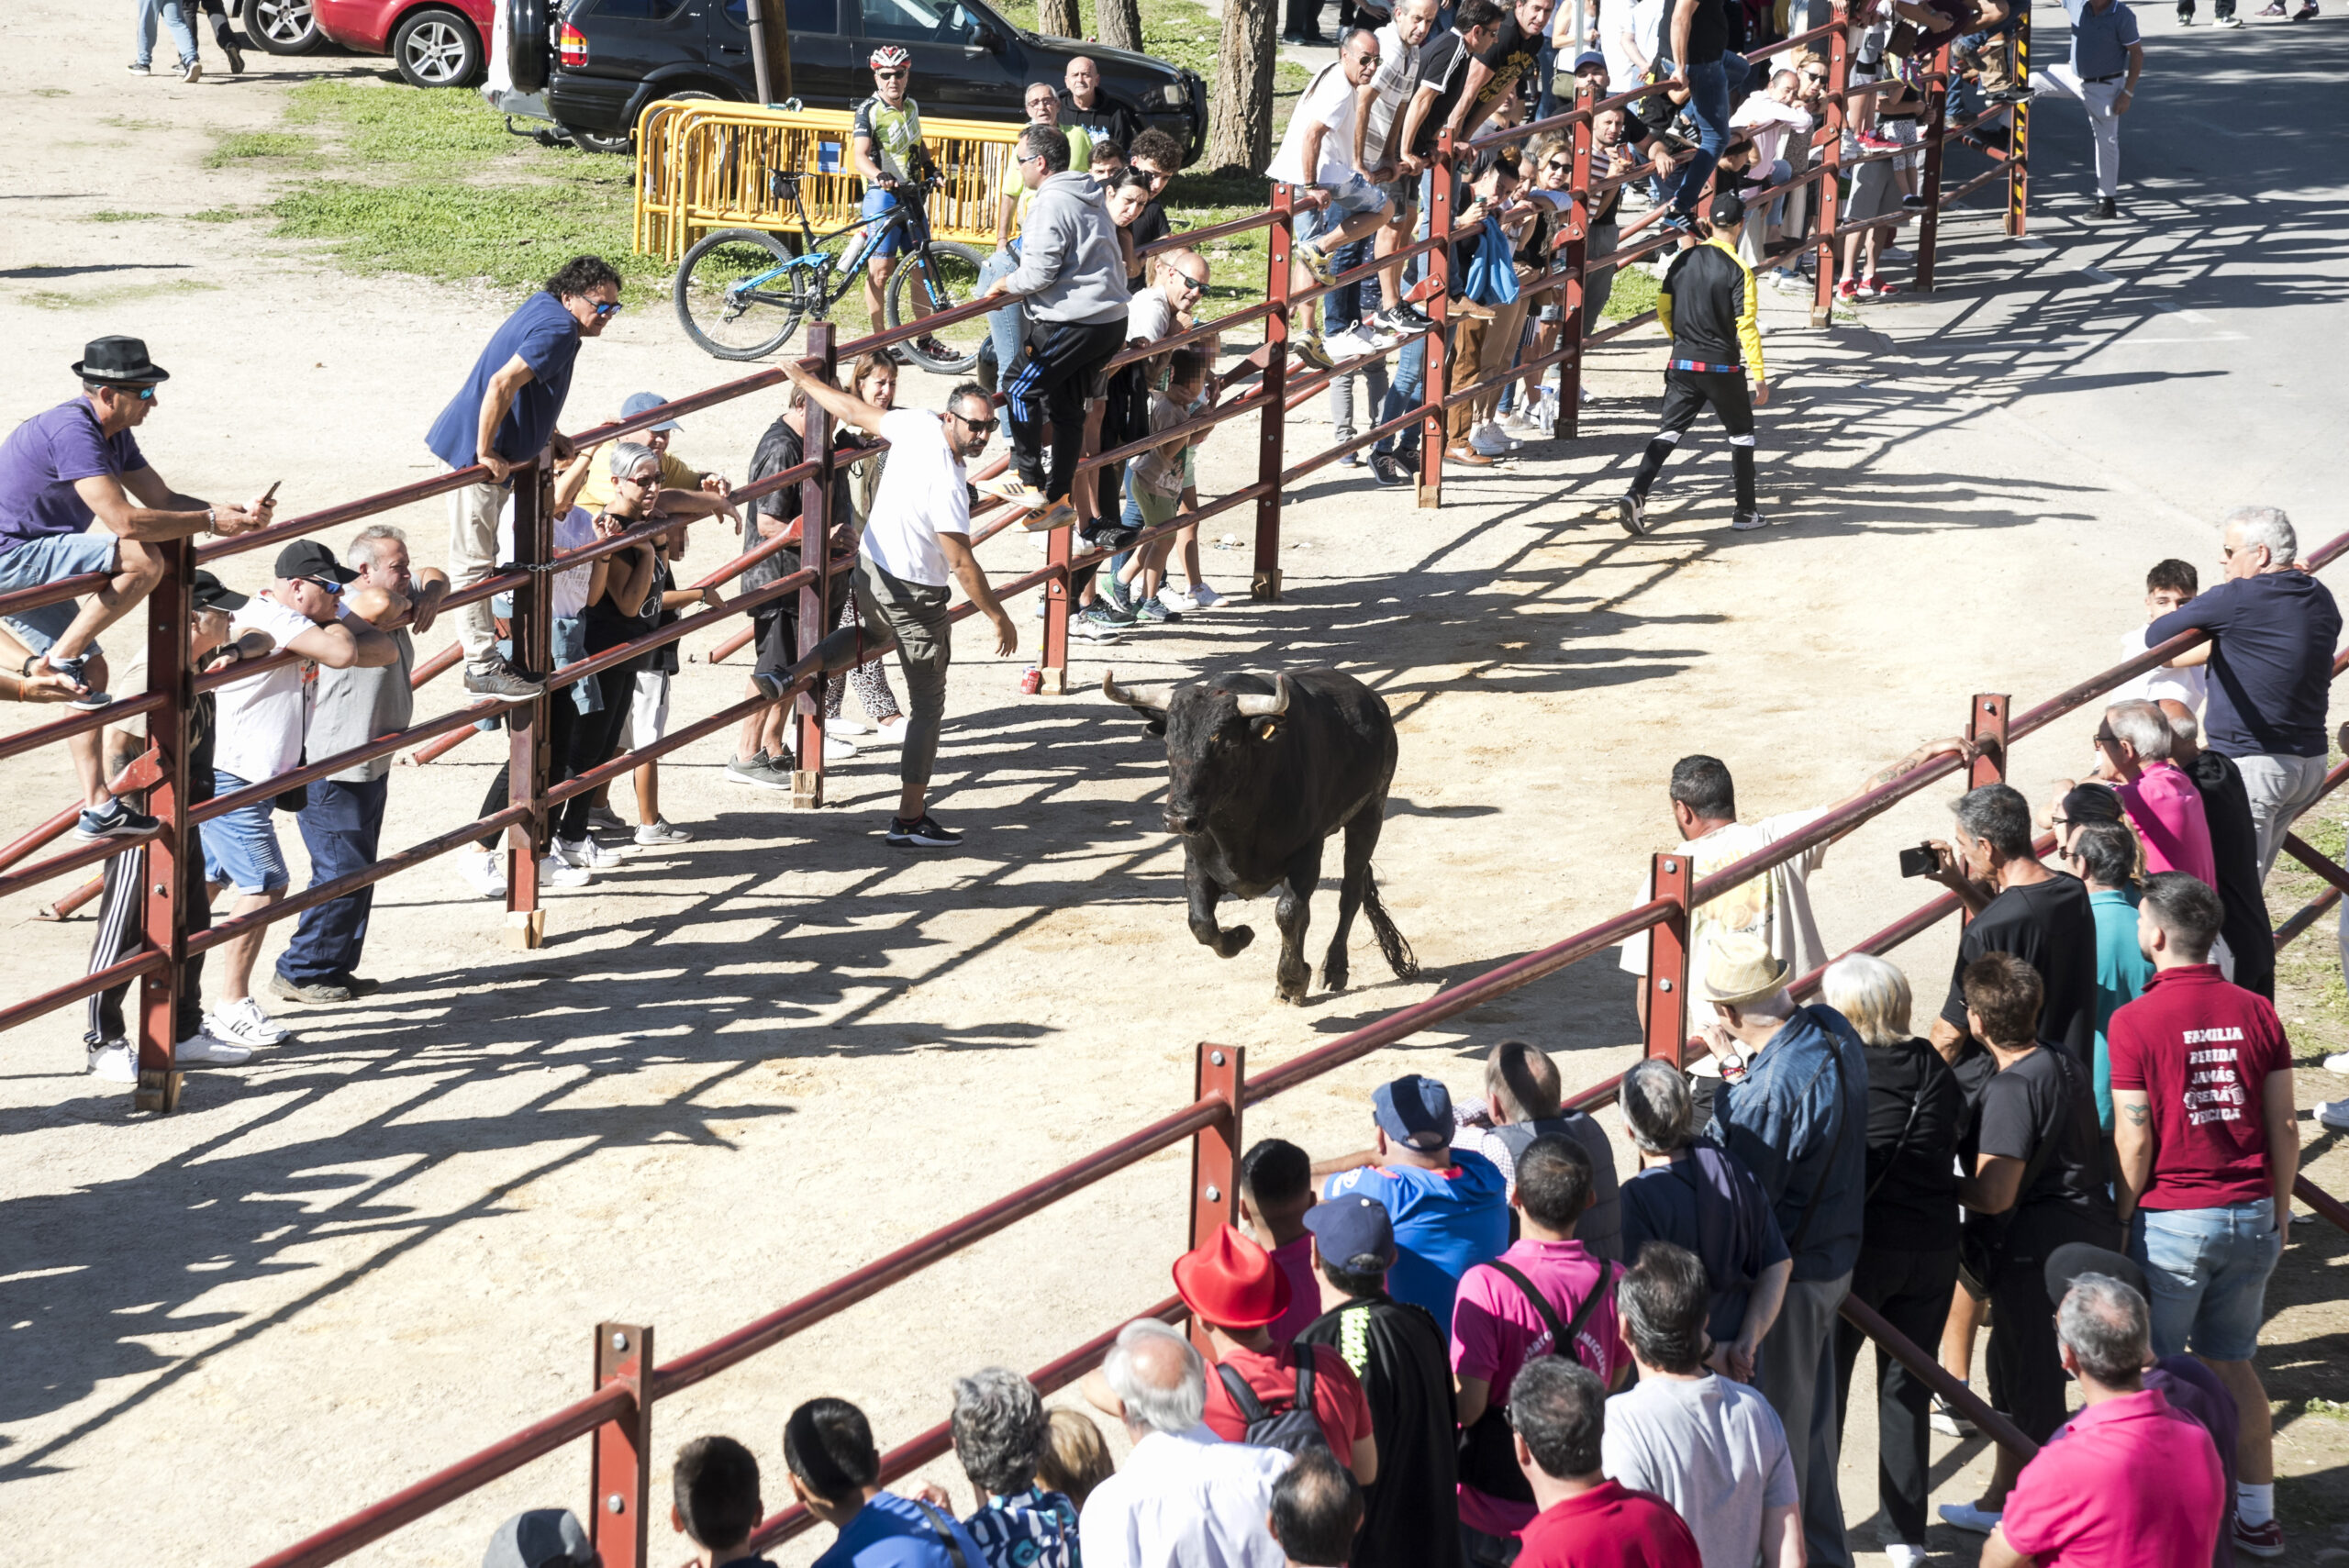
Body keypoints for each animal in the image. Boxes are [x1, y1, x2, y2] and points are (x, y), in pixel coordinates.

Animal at [1094, 666, 1409, 1004]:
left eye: (1226, 745)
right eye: (1169, 744)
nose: (1178, 819)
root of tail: (1374, 702)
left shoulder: (1308, 852)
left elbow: (1289, 913)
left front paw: (1292, 980)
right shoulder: (1195, 861)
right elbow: (1201, 922)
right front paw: (1241, 936)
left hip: (1371, 811)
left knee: (1349, 891)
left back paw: (1334, 969)